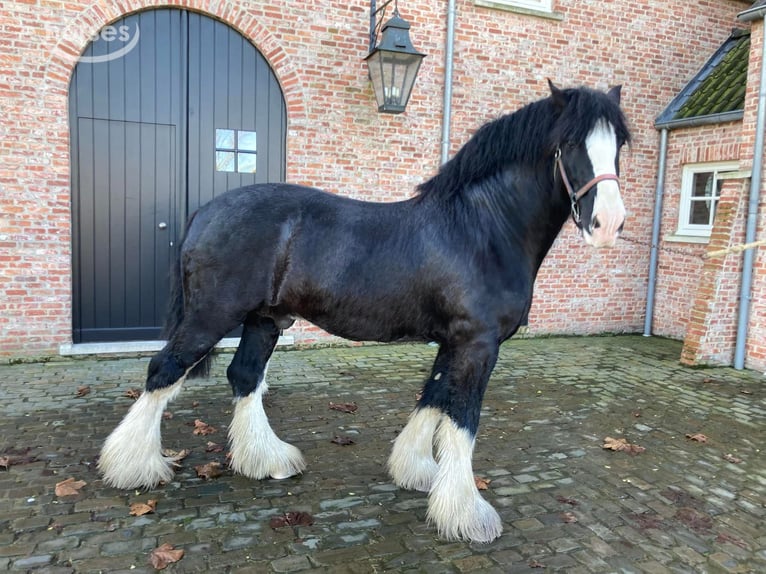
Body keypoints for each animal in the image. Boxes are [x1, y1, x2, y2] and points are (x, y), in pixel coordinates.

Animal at [98, 81, 630, 543]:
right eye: (570, 143)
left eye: (619, 144)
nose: (608, 223)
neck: (482, 229)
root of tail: (205, 211)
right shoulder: (477, 343)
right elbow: (463, 419)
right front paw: (466, 514)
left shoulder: (452, 342)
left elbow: (432, 398)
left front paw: (417, 472)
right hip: (211, 315)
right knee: (164, 370)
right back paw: (133, 467)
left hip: (265, 319)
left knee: (244, 376)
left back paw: (267, 460)